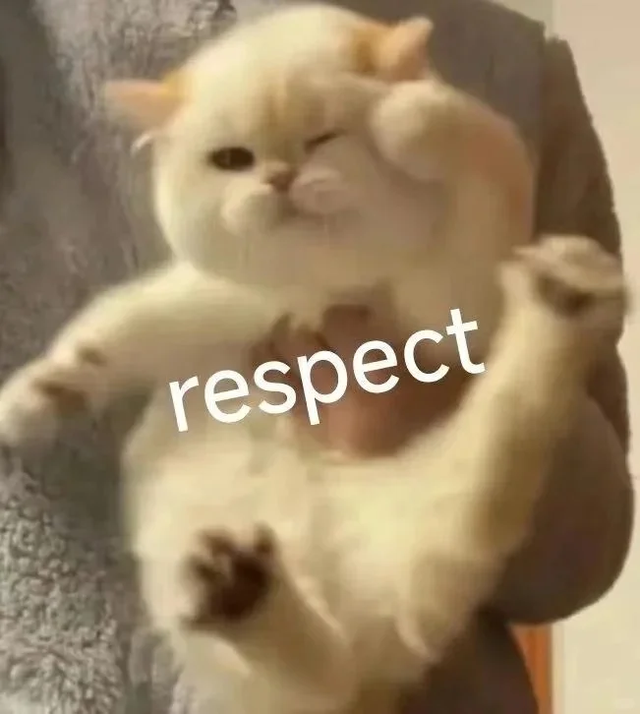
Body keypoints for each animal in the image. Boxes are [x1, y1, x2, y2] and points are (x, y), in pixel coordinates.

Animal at [0, 4, 628, 714]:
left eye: (324, 138)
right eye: (232, 159)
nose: (279, 177)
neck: (325, 288)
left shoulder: (454, 307)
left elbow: (478, 143)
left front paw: (405, 115)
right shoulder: (217, 305)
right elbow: (114, 332)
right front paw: (35, 399)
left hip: (443, 499)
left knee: (504, 432)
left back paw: (565, 297)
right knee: (318, 674)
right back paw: (239, 589)